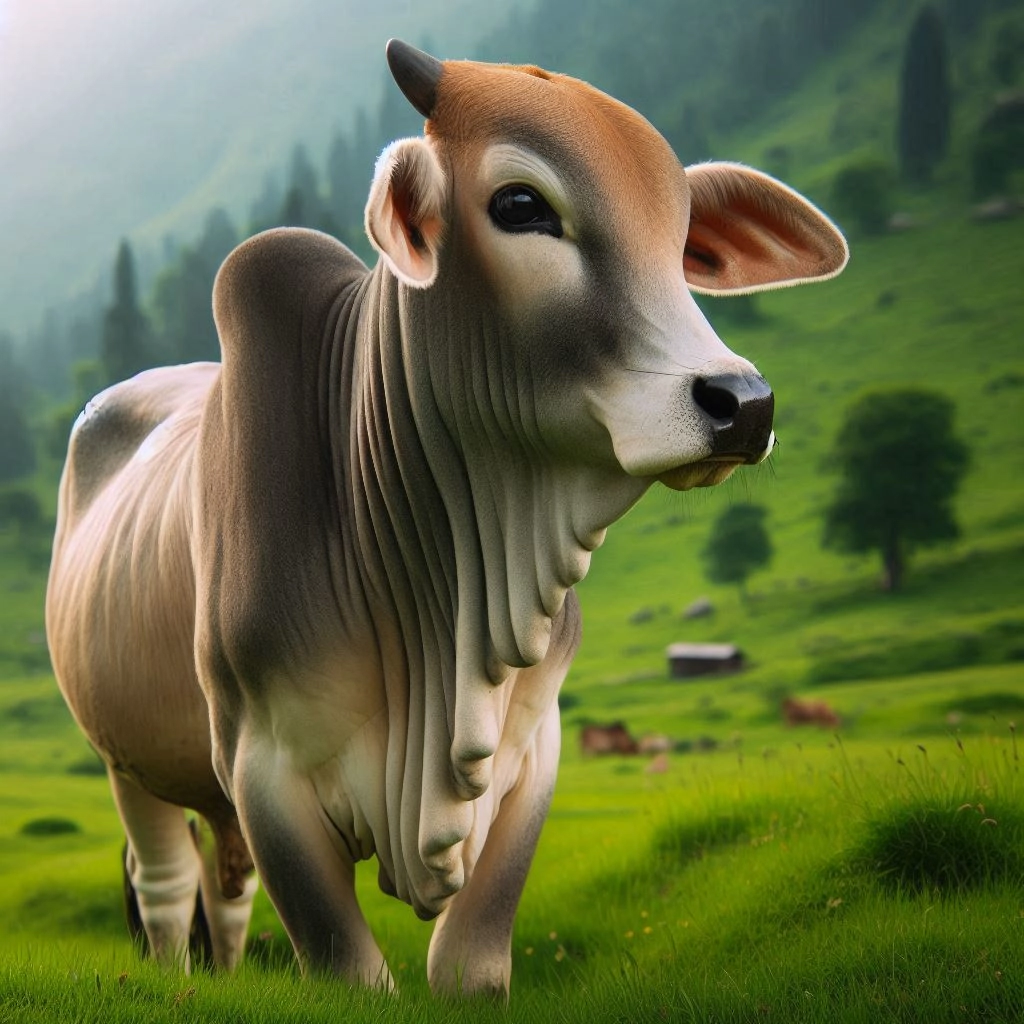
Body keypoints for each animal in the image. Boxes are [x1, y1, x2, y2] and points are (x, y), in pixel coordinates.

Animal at [45, 39, 848, 997]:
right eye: (520, 205)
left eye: (684, 235)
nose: (742, 403)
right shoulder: (263, 767)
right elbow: (346, 966)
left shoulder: (535, 752)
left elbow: (474, 964)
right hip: (126, 762)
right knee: (163, 888)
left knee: (225, 893)